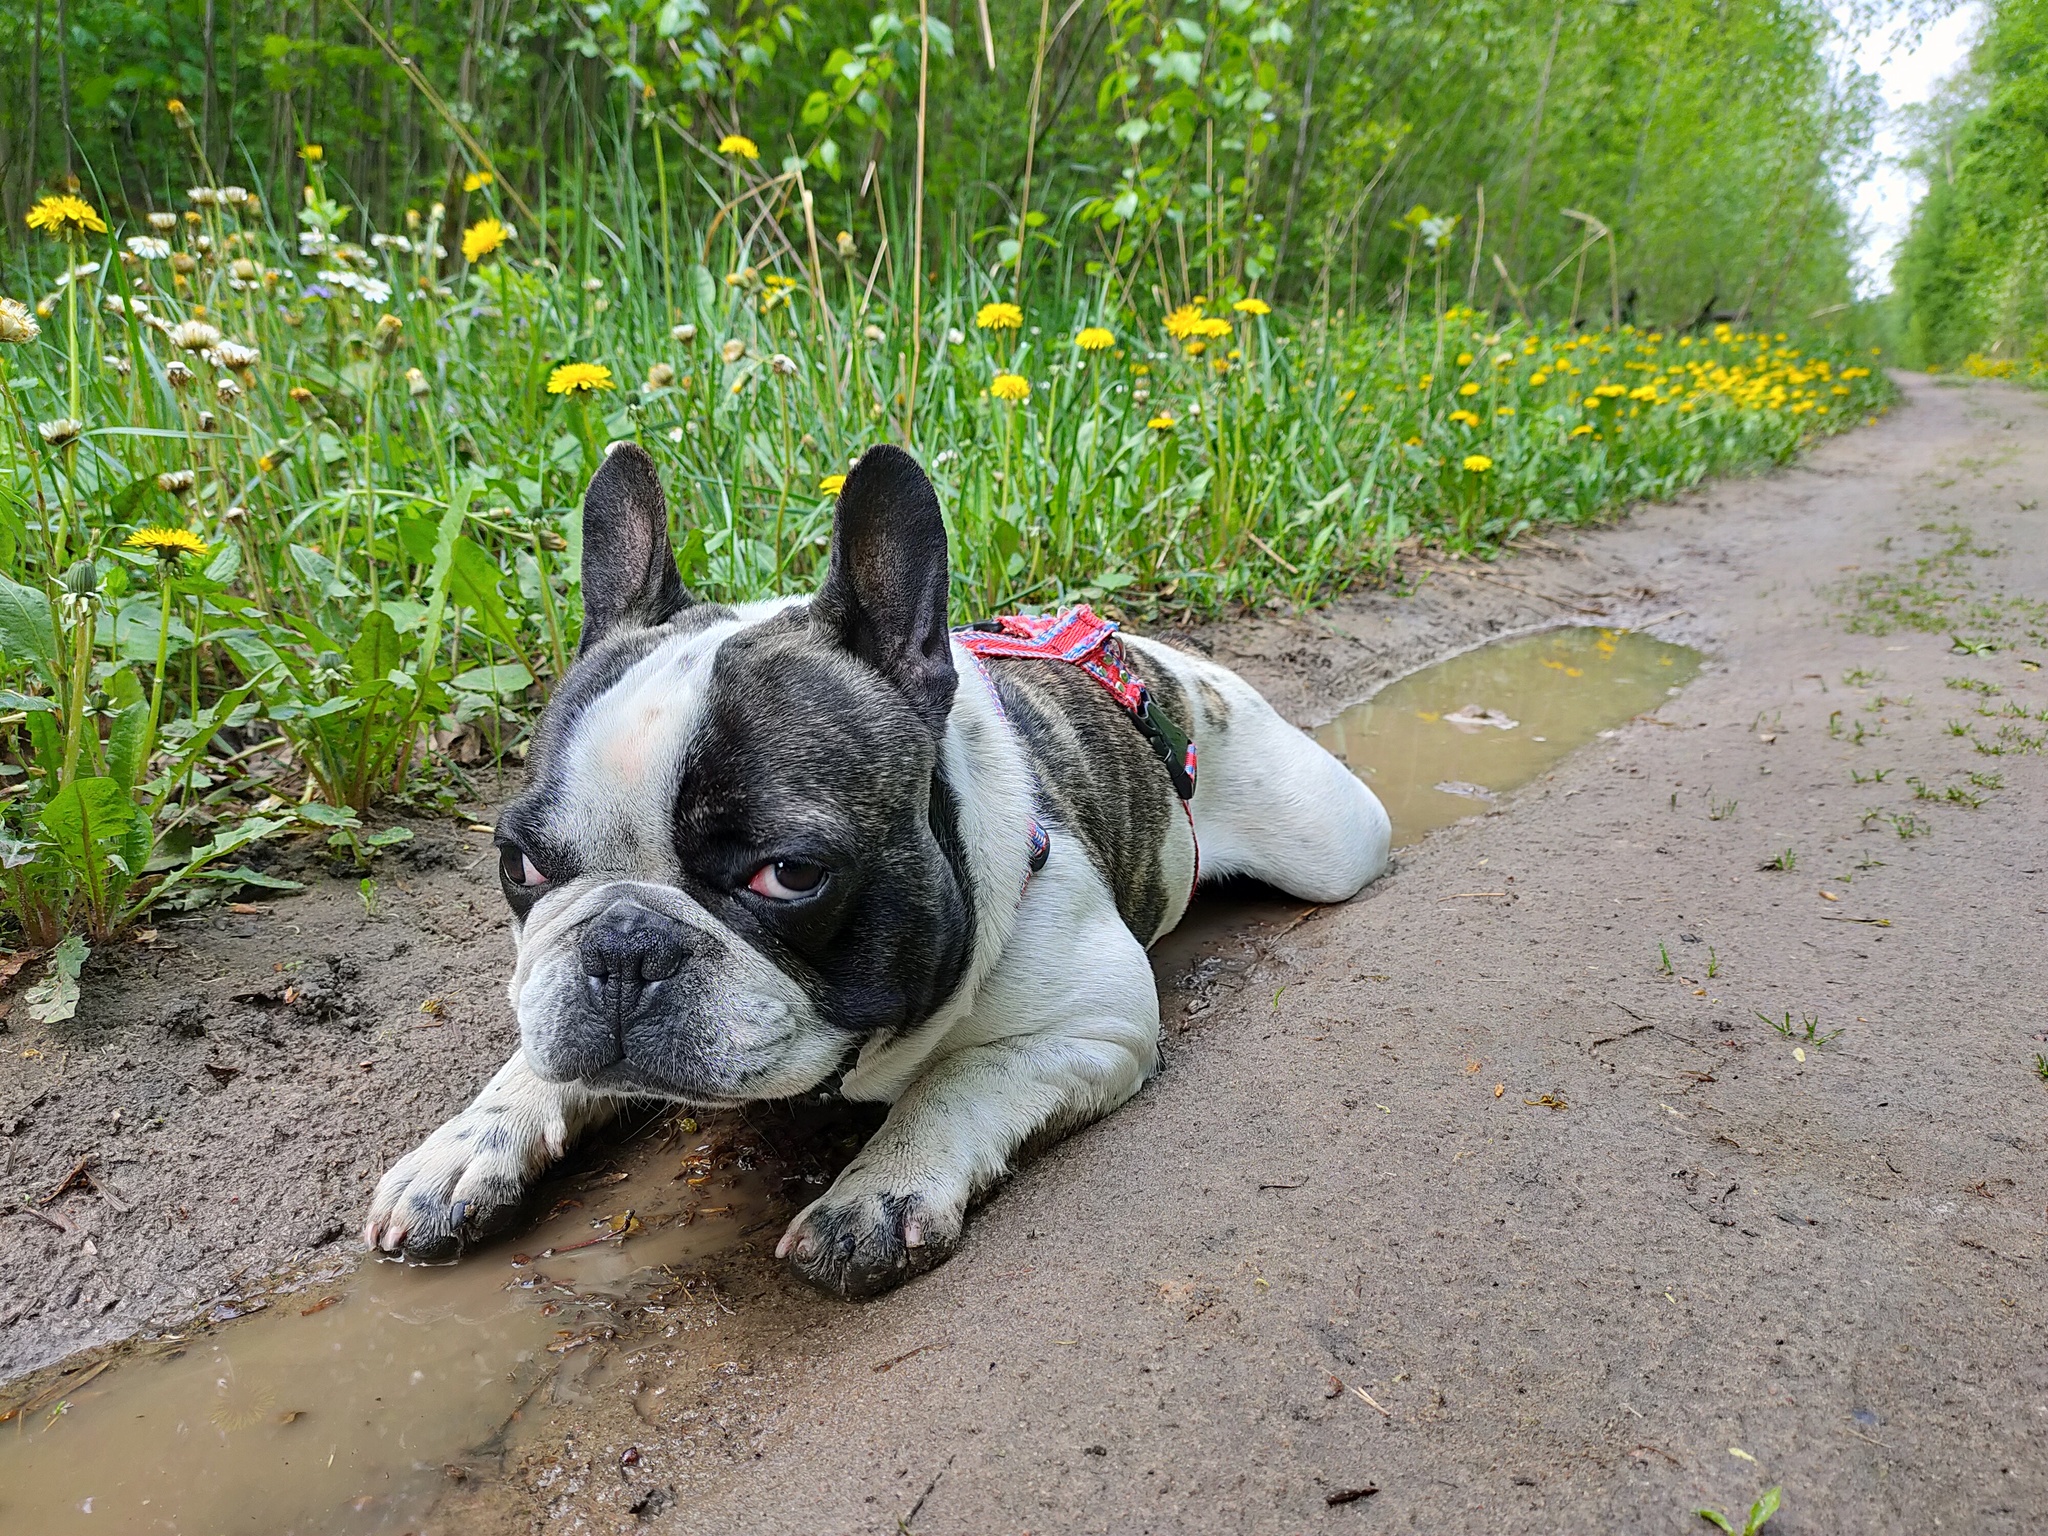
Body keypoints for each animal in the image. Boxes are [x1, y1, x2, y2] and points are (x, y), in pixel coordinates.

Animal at [368, 444, 1392, 1302]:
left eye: (788, 876)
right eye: (520, 863)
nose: (624, 945)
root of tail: (1142, 653)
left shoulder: (1094, 1022)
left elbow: (960, 1081)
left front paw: (879, 1192)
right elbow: (534, 1056)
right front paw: (466, 1146)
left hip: (1330, 844)